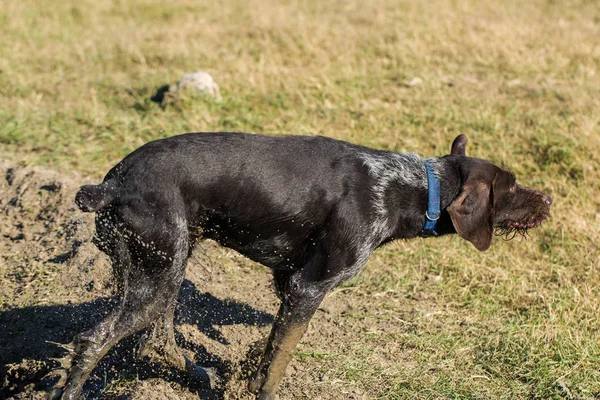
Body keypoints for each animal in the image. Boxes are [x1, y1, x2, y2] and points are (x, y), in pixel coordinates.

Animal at [49, 133, 552, 398]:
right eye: (510, 187)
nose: (548, 198)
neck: (406, 187)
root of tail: (110, 185)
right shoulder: (310, 287)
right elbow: (278, 362)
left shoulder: (287, 281)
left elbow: (269, 349)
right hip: (160, 270)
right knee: (96, 340)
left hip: (165, 267)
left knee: (154, 341)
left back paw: (201, 375)